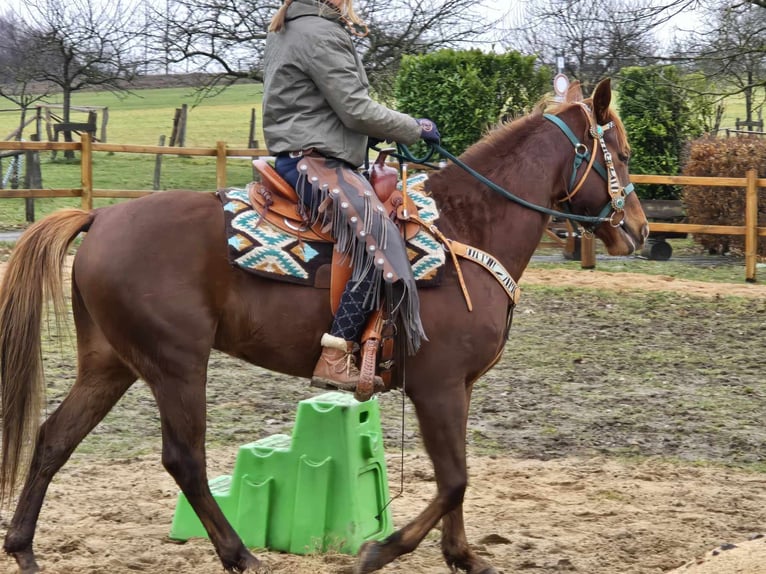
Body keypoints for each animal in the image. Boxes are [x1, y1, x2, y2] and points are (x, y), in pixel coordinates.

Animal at [0, 80, 648, 574]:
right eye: (618, 152)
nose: (639, 230)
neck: (467, 227)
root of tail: (100, 217)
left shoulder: (457, 389)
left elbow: (457, 476)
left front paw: (463, 556)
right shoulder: (436, 386)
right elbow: (454, 479)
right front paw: (380, 550)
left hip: (111, 363)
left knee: (55, 437)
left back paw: (24, 549)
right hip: (175, 364)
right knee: (184, 458)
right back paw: (241, 556)